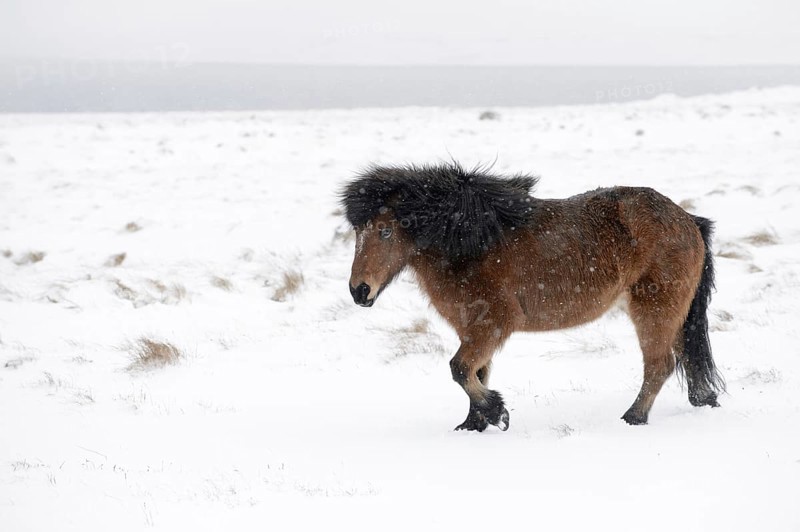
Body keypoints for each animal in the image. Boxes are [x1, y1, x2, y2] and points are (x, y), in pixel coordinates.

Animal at [341, 163, 724, 432]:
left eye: (385, 231)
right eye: (356, 231)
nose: (360, 291)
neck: (470, 242)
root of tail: (688, 220)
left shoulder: (493, 323)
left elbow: (460, 369)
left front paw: (497, 413)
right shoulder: (473, 328)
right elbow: (477, 372)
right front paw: (474, 425)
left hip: (654, 308)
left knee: (660, 365)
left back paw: (632, 418)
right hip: (674, 312)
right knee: (684, 357)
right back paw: (704, 401)